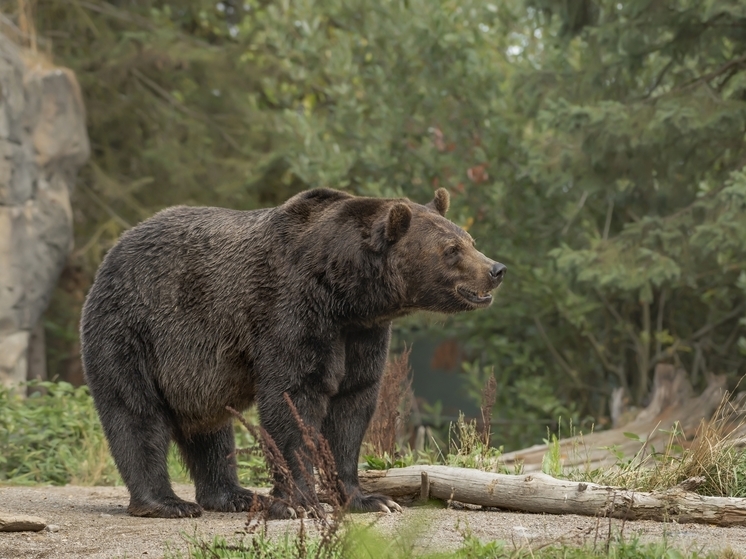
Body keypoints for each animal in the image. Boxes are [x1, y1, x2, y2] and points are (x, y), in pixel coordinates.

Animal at [78, 189, 502, 520]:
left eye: (469, 238)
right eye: (451, 250)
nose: (496, 269)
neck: (345, 293)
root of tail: (113, 250)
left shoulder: (361, 335)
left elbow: (352, 406)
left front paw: (369, 499)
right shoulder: (291, 311)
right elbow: (293, 400)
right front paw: (300, 503)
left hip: (194, 372)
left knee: (210, 430)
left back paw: (233, 495)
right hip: (134, 329)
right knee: (136, 413)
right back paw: (166, 503)